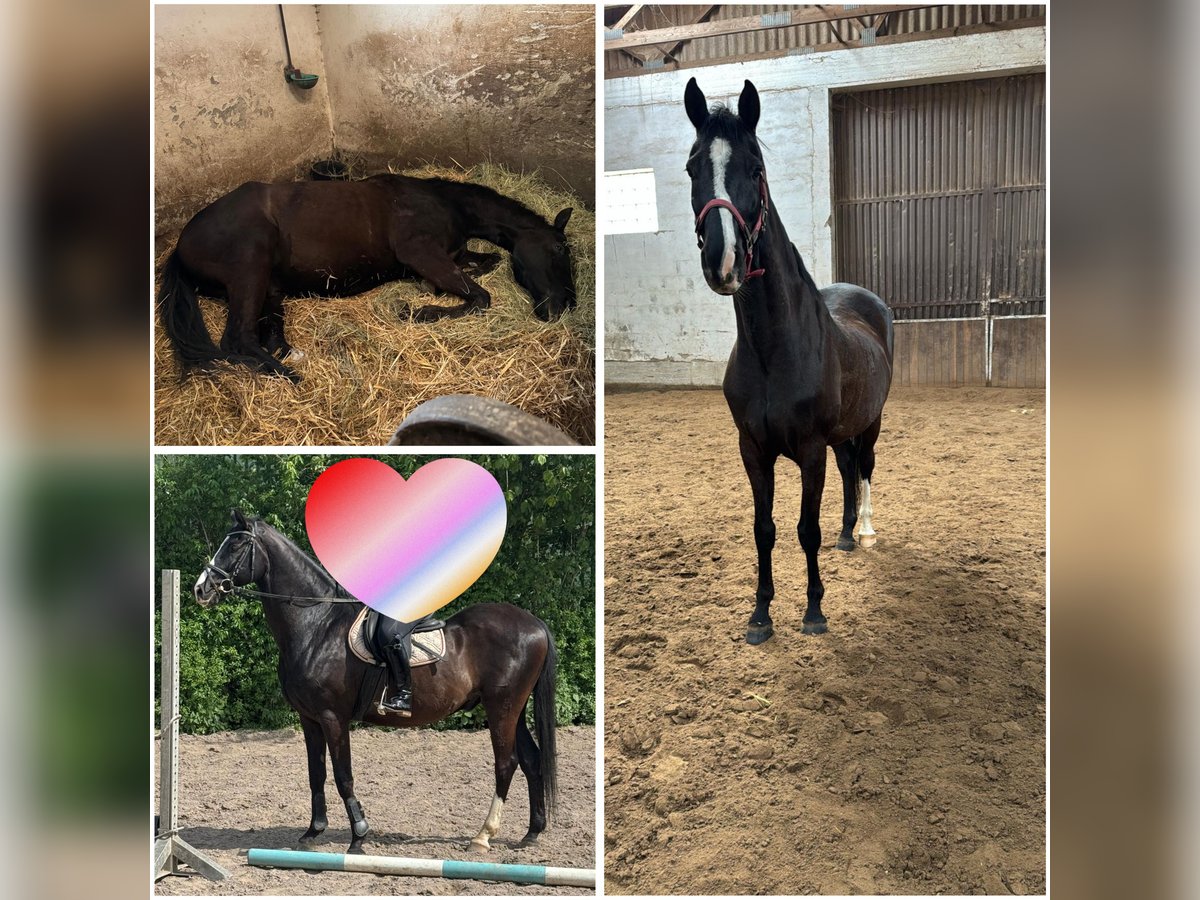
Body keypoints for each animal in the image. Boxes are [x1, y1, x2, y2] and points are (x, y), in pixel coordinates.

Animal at [193, 511, 556, 854]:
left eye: (237, 544)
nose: (201, 589)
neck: (316, 625)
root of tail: (535, 623)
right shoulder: (309, 719)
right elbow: (316, 774)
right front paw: (313, 832)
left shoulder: (332, 717)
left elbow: (343, 776)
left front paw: (359, 836)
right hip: (513, 709)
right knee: (531, 760)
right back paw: (532, 833)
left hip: (501, 708)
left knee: (506, 763)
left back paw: (482, 837)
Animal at [686, 75, 892, 643]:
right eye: (692, 167)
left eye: (756, 169)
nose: (723, 261)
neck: (773, 351)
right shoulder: (754, 451)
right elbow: (765, 529)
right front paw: (760, 614)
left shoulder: (810, 451)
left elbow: (805, 528)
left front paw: (814, 610)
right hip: (842, 433)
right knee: (850, 469)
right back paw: (848, 534)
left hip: (871, 422)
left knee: (865, 467)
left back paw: (866, 530)